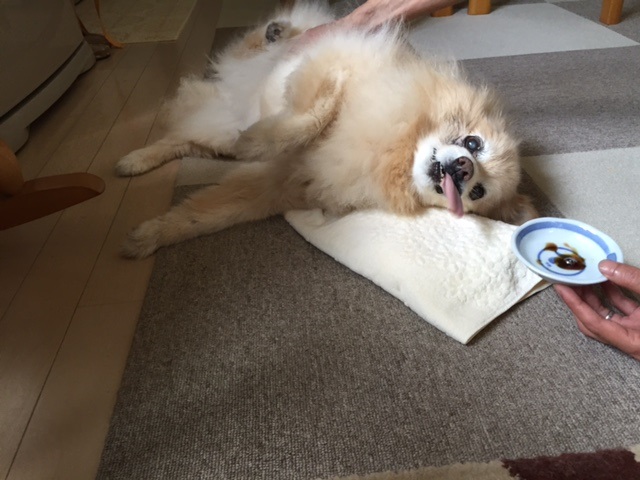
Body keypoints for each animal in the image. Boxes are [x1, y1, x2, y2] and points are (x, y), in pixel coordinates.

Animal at [116, 2, 537, 259]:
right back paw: (275, 31)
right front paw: (261, 139)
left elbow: (202, 215)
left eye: (478, 192)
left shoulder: (277, 185)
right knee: (257, 44)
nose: (464, 168)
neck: (393, 152)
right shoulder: (331, 62)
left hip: (217, 137)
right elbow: (314, 112)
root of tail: (227, 92)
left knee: (179, 140)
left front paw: (150, 235)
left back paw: (134, 161)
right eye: (473, 143)